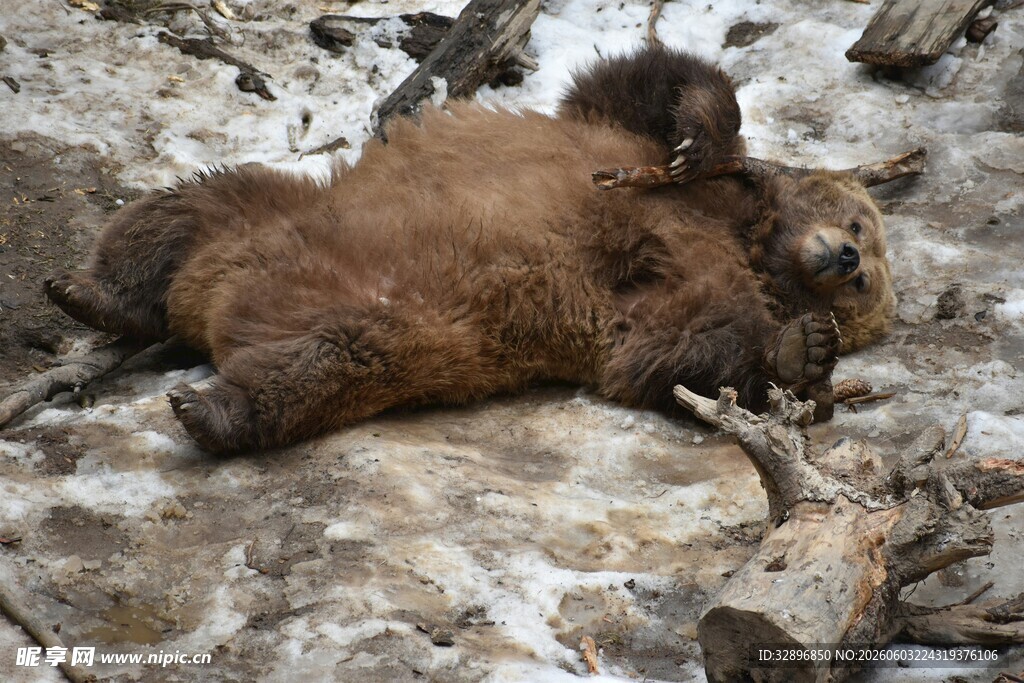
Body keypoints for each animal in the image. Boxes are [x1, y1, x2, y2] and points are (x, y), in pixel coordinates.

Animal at [44, 46, 895, 454]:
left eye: (866, 286)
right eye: (859, 225)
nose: (848, 261)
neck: (750, 238)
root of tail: (214, 308)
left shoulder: (673, 287)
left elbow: (675, 351)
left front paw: (803, 349)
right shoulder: (626, 152)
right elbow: (641, 86)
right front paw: (699, 130)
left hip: (405, 326)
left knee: (323, 363)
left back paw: (208, 407)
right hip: (283, 209)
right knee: (187, 205)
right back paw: (92, 291)